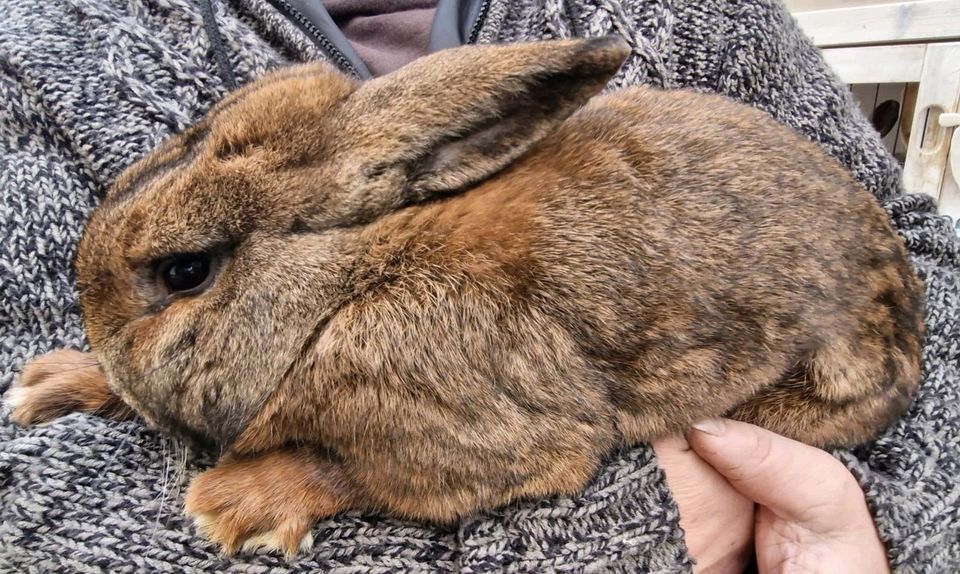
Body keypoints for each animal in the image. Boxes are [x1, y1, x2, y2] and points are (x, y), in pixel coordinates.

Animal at [5, 37, 924, 560]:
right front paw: (51, 383)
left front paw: (233, 506)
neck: (346, 283)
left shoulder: (490, 439)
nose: (99, 330)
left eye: (185, 272)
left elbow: (349, 469)